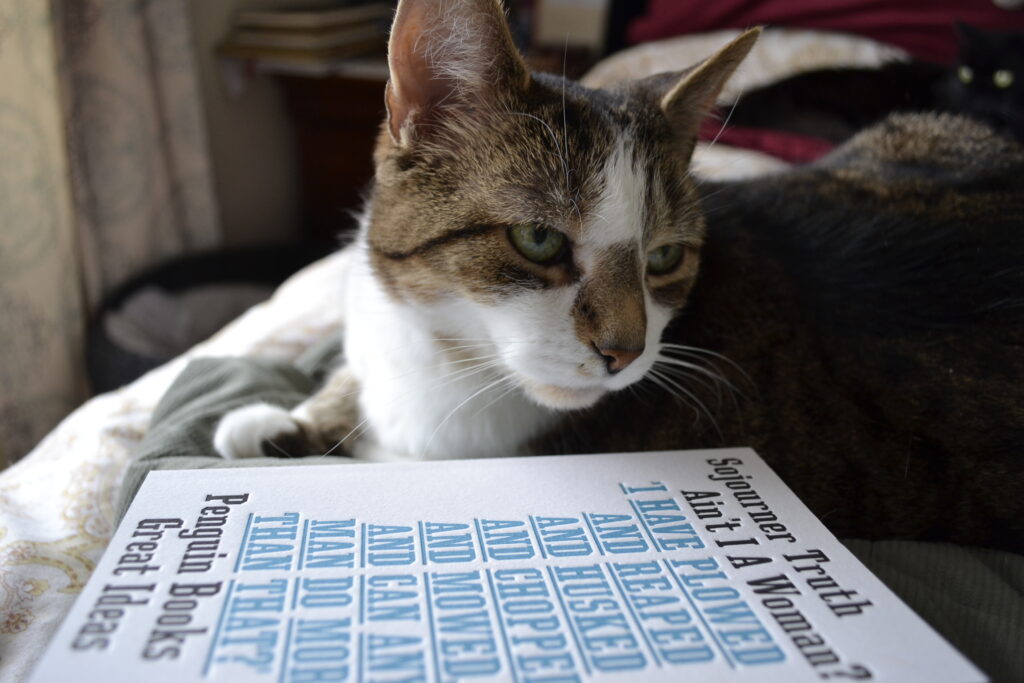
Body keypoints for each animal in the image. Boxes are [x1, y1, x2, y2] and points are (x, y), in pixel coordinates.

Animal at [211, 0, 1019, 552]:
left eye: (664, 257)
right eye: (538, 239)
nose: (625, 353)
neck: (444, 352)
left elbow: (386, 463)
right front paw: (283, 420)